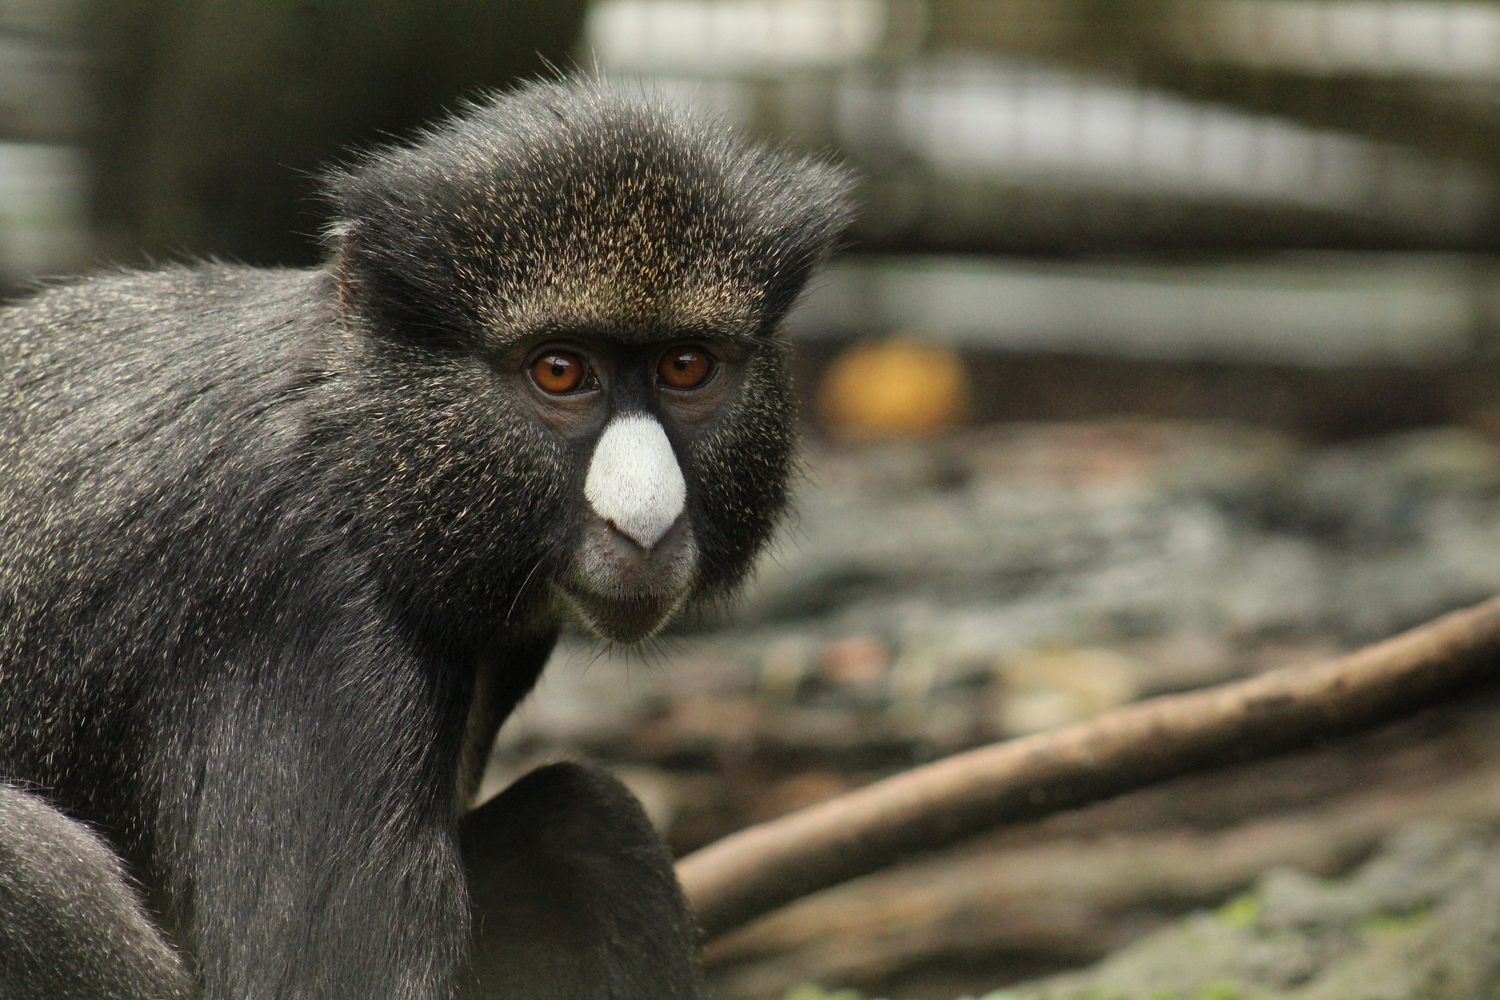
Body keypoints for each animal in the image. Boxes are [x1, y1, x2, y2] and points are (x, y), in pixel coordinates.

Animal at [0, 80, 852, 1000]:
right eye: (560, 371)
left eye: (686, 366)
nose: (645, 521)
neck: (360, 451)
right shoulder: (309, 621)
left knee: (587, 823)